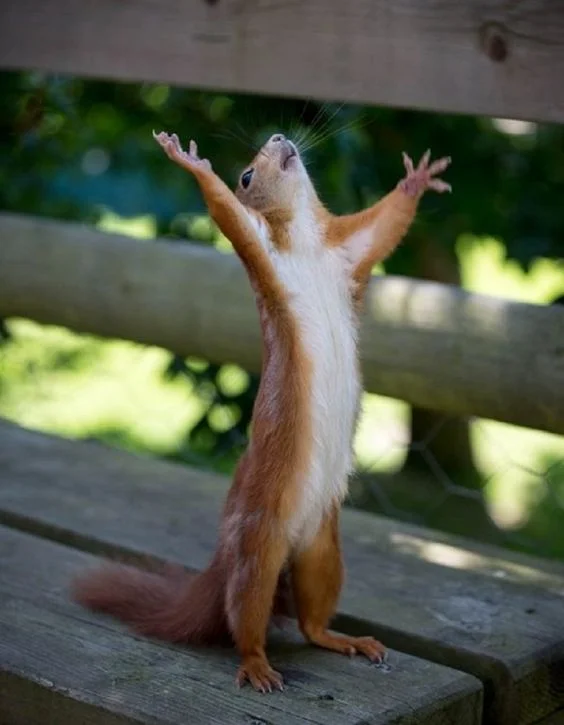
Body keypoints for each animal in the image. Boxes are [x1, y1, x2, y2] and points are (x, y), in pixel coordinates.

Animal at [73, 129, 451, 693]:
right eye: (247, 175)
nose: (278, 137)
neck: (307, 242)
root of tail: (225, 559)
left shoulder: (349, 251)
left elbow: (384, 226)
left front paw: (417, 179)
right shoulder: (261, 250)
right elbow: (227, 213)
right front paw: (192, 163)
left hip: (323, 549)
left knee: (312, 620)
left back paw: (344, 639)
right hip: (258, 549)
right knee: (244, 617)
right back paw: (256, 665)